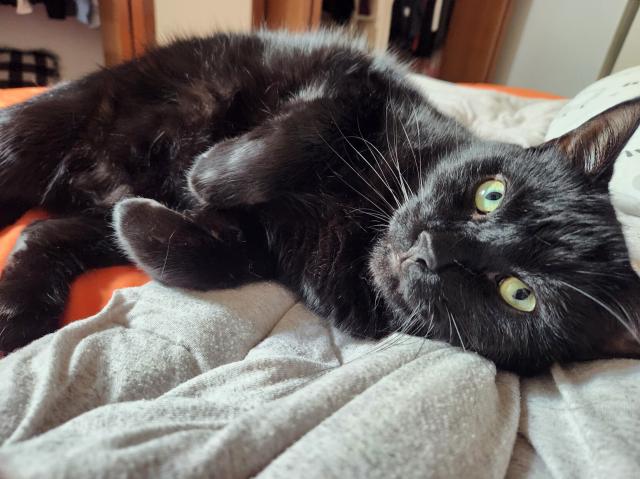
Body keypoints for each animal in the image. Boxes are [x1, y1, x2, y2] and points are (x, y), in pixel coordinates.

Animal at [1, 31, 640, 376]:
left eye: (519, 295)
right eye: (491, 193)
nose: (431, 248)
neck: (358, 226)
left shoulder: (259, 248)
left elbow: (204, 258)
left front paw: (142, 219)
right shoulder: (353, 81)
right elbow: (305, 129)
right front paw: (207, 174)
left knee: (42, 234)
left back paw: (17, 313)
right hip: (44, 127)